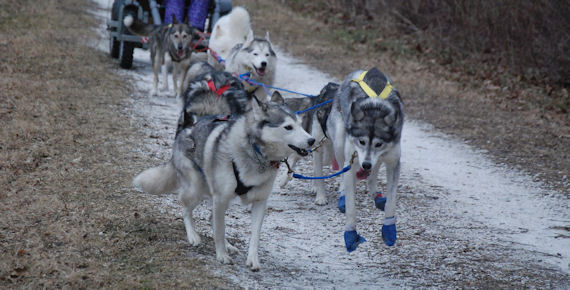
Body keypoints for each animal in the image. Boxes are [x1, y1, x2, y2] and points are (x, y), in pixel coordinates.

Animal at [132, 96, 316, 270]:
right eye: (288, 127)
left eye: (301, 125)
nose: (312, 140)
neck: (255, 152)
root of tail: (185, 130)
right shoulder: (220, 198)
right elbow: (220, 231)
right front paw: (221, 255)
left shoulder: (259, 201)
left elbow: (254, 235)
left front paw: (252, 259)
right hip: (197, 189)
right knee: (186, 210)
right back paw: (193, 236)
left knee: (212, 217)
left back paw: (228, 245)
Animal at [326, 68, 402, 251]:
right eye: (361, 142)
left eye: (378, 144)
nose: (366, 164)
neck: (375, 108)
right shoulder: (352, 160)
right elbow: (351, 206)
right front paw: (351, 233)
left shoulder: (393, 162)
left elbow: (391, 201)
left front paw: (389, 228)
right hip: (340, 143)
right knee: (343, 171)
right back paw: (343, 193)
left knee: (373, 174)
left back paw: (375, 192)